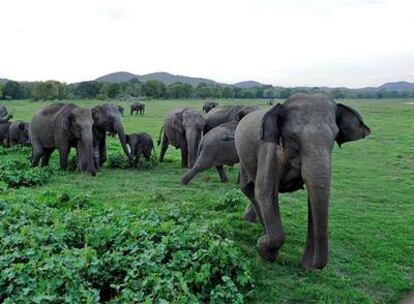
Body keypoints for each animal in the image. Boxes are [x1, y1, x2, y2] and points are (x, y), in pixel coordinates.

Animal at [234, 94, 370, 270]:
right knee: (249, 188)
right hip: (243, 157)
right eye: (293, 136)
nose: (312, 265)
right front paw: (264, 251)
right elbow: (265, 192)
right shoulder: (269, 152)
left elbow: (313, 197)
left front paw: (306, 266)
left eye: (334, 137)